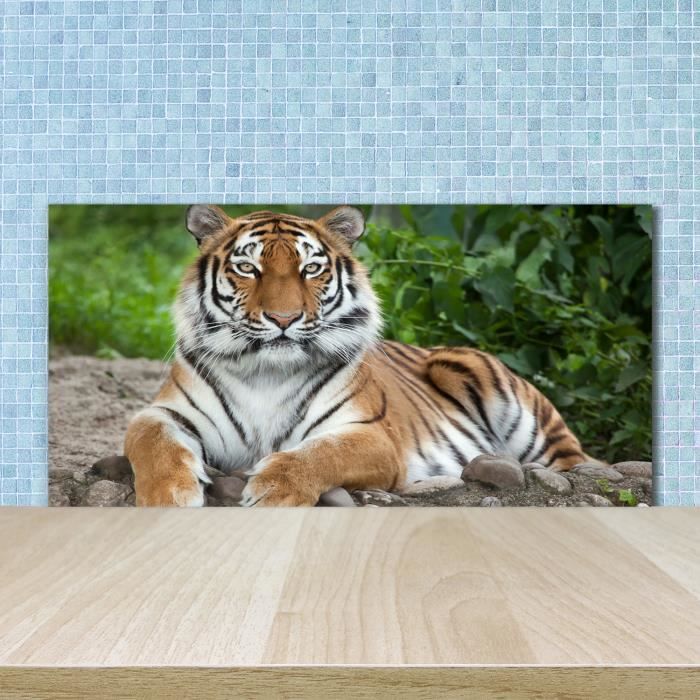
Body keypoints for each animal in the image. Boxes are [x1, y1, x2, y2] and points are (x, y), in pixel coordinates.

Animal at [124, 204, 589, 507]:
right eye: (248, 269)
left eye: (310, 269)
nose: (283, 318)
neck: (266, 372)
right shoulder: (165, 413)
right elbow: (152, 442)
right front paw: (170, 495)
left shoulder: (371, 435)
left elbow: (319, 454)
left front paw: (273, 490)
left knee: (574, 462)